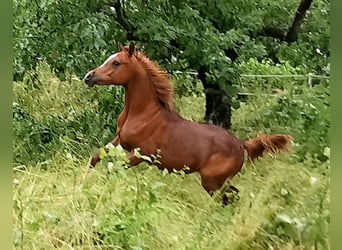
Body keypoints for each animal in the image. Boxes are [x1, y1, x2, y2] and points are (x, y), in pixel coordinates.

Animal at [84, 45, 292, 195]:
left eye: (116, 63)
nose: (88, 76)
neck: (143, 114)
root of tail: (242, 144)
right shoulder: (120, 141)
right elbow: (96, 157)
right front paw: (84, 182)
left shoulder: (141, 154)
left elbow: (113, 168)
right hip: (217, 182)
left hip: (212, 181)